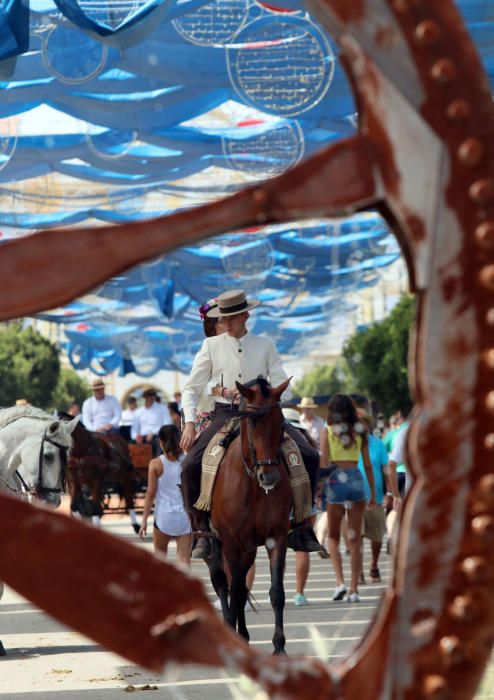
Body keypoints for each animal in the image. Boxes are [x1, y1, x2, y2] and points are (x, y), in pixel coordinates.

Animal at [206, 378, 292, 656]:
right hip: (216, 544)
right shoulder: (231, 544)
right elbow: (233, 591)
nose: (270, 477)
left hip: (248, 549)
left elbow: (276, 593)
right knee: (224, 584)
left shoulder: (276, 539)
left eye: (281, 421)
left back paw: (242, 634)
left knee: (241, 585)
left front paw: (279, 646)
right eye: (253, 422)